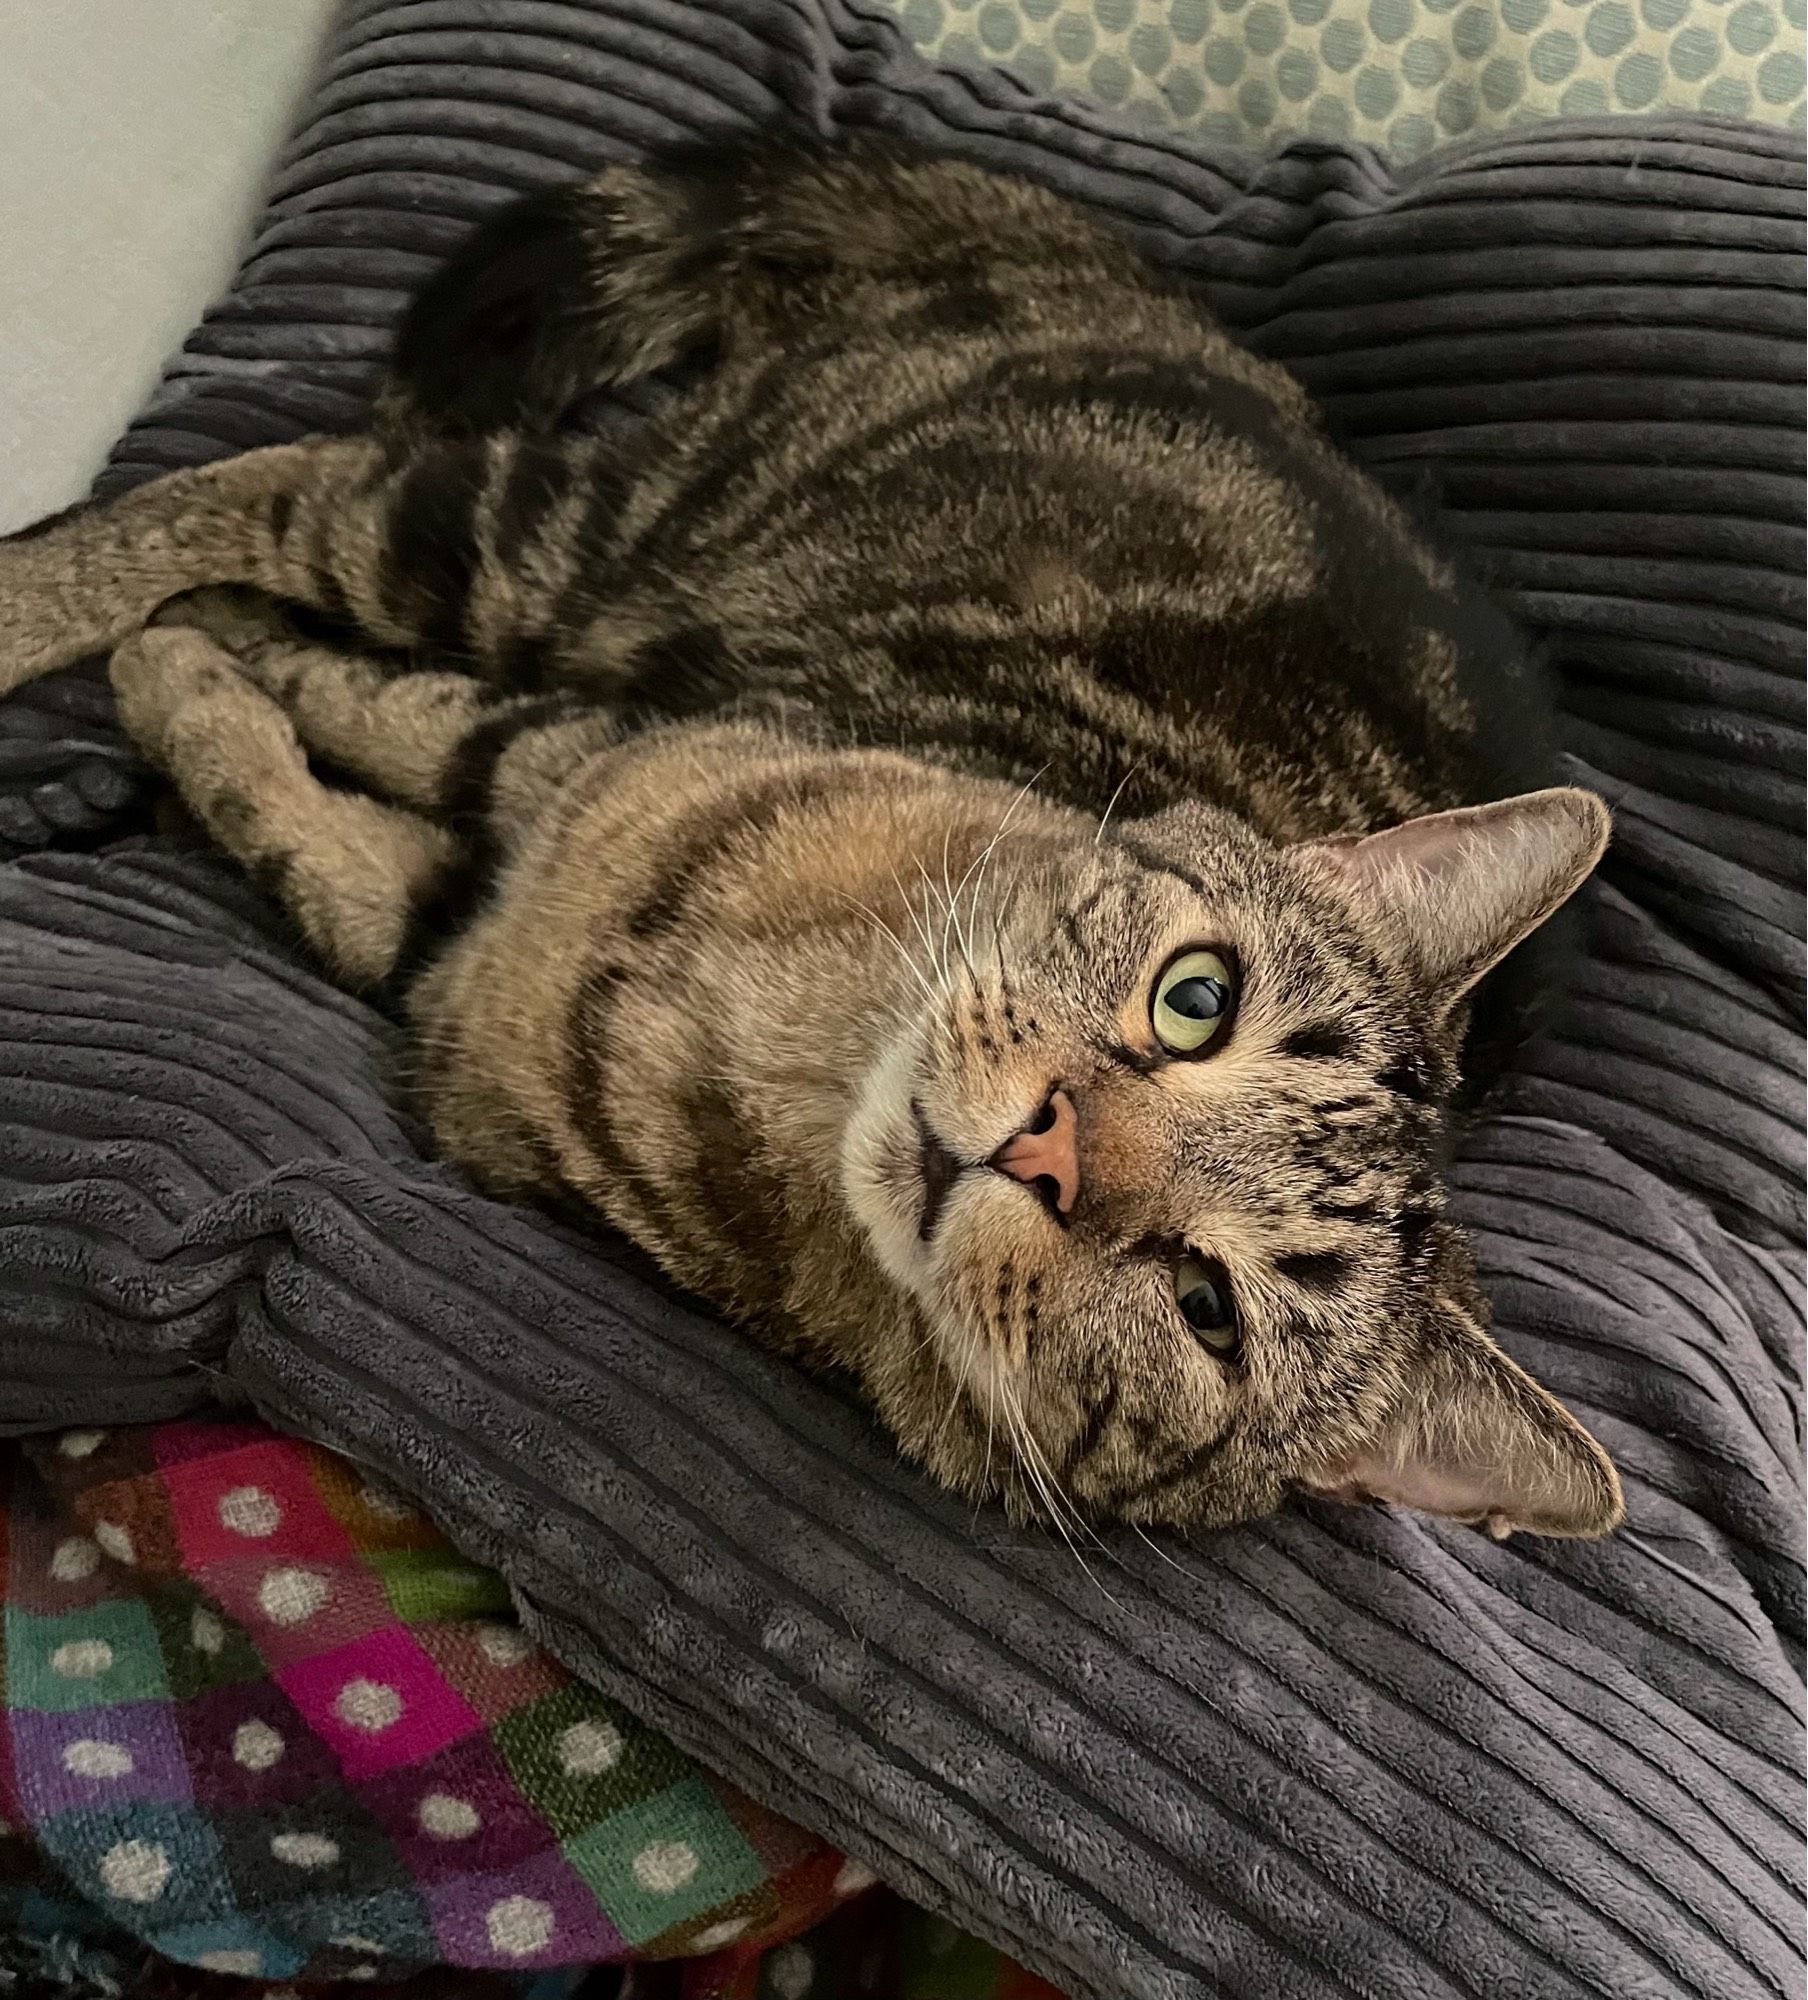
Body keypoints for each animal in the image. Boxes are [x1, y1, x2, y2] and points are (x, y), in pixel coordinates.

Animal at [0, 145, 1616, 1528]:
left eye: (1207, 1309)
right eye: (1196, 999)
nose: (1047, 1148)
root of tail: (1148, 301)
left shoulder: (437, 933)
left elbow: (300, 828)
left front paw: (186, 691)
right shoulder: (559, 739)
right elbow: (349, 697)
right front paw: (197, 661)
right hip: (564, 547)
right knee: (284, 482)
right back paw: (66, 607)